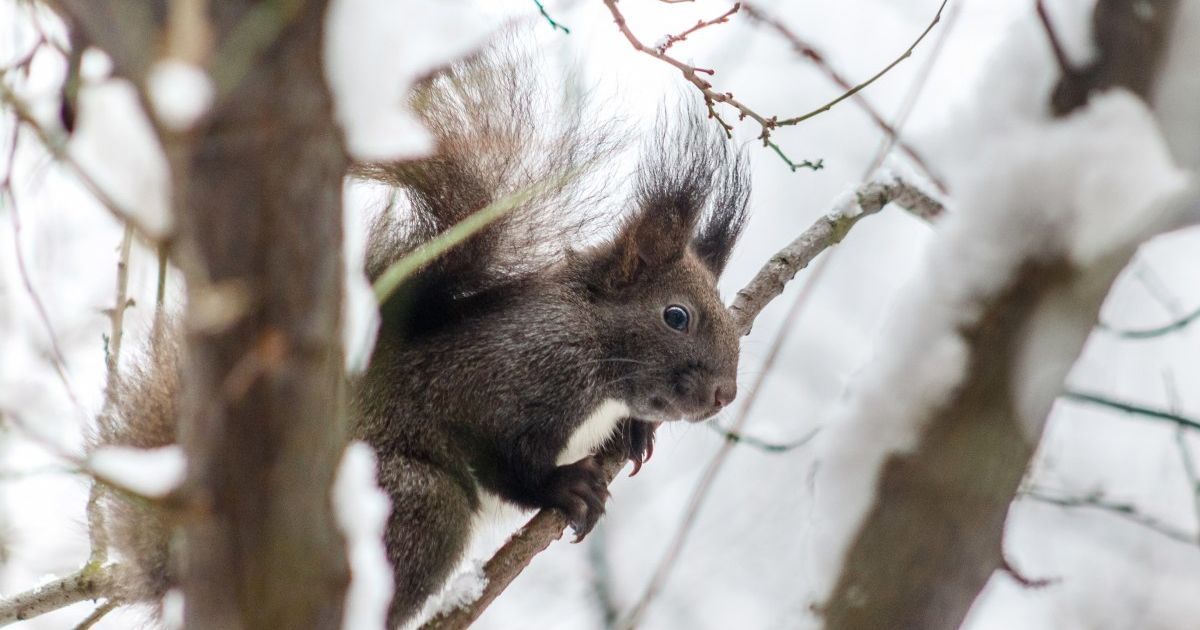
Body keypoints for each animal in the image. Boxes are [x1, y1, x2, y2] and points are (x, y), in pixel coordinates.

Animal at [93, 39, 748, 624]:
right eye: (676, 315)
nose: (725, 394)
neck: (593, 345)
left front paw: (637, 430)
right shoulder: (506, 375)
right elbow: (505, 462)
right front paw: (564, 487)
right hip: (414, 504)